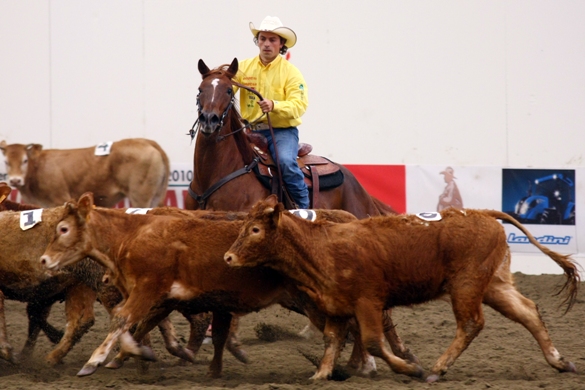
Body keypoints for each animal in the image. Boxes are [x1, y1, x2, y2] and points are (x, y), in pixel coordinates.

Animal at [0, 139, 169, 209]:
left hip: (140, 196)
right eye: (6, 162)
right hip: (155, 195)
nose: (15, 180)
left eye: (25, 160)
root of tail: (148, 142)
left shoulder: (60, 198)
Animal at [38, 194, 420, 378]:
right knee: (352, 326)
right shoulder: (164, 297)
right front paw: (135, 354)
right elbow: (139, 324)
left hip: (311, 299)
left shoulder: (149, 288)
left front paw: (95, 361)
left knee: (359, 324)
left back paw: (375, 363)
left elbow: (123, 319)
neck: (133, 235)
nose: (43, 260)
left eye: (63, 229)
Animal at [225, 195, 580, 380]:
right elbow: (331, 340)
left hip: (465, 285)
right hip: (493, 284)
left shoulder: (368, 302)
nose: (227, 257)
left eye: (255, 230)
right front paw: (321, 375)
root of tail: (483, 213)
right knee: (528, 312)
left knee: (470, 323)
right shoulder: (336, 305)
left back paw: (438, 368)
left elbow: (372, 341)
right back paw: (559, 361)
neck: (322, 246)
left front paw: (410, 368)